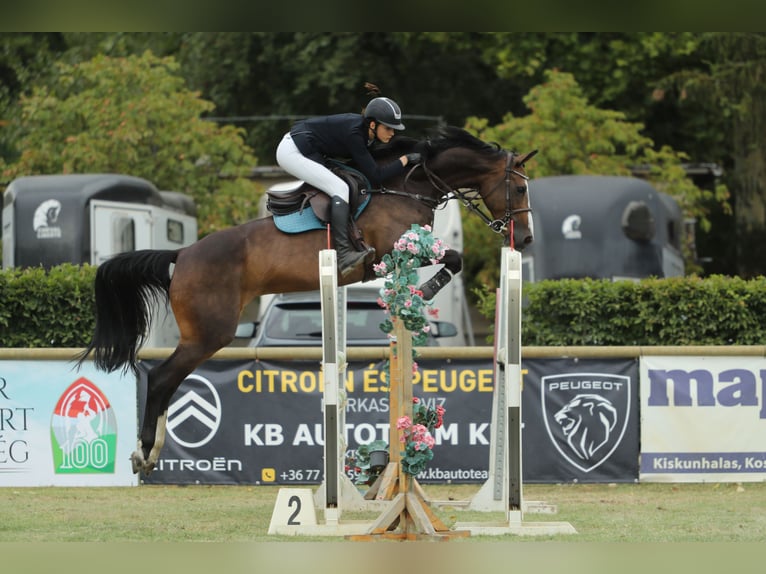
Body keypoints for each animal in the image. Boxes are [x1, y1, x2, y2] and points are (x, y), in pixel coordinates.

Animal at [77, 125, 538, 475]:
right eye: (518, 188)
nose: (527, 238)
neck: (408, 187)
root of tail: (183, 255)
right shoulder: (395, 249)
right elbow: (452, 258)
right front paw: (425, 290)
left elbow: (451, 259)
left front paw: (420, 293)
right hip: (209, 334)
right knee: (160, 379)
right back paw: (143, 454)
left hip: (204, 336)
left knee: (169, 382)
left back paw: (150, 452)